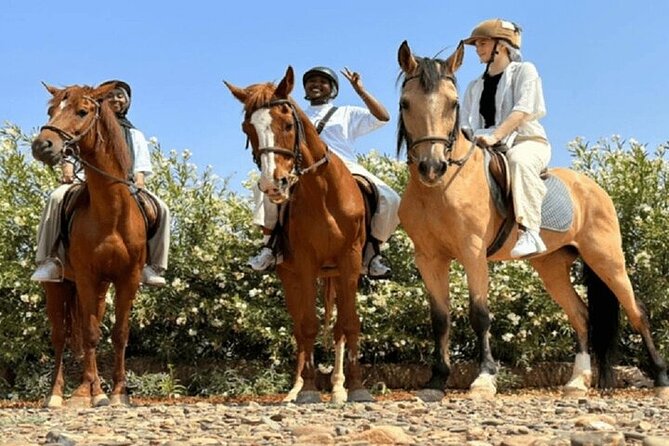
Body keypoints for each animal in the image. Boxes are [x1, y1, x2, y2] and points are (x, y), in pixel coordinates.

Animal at [31, 82, 147, 407]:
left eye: (82, 112)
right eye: (51, 110)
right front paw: (93, 393)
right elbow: (91, 333)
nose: (42, 145)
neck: (111, 214)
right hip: (58, 286)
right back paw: (60, 394)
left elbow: (120, 334)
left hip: (99, 288)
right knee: (61, 336)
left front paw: (119, 393)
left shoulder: (127, 279)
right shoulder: (85, 276)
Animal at [225, 66, 373, 403]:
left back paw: (338, 387)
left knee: (337, 328)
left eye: (288, 124)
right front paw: (306, 390)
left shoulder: (349, 261)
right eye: (247, 129)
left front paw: (356, 387)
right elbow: (307, 325)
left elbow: (349, 323)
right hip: (290, 275)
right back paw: (296, 388)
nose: (273, 184)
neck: (323, 191)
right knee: (298, 327)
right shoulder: (304, 264)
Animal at [396, 40, 669, 401]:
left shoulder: (472, 253)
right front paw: (436, 380)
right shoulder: (429, 258)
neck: (440, 189)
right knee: (581, 315)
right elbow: (440, 318)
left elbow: (479, 314)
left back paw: (661, 377)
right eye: (405, 103)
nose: (432, 167)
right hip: (551, 266)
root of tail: (595, 188)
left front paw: (484, 378)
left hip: (606, 259)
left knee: (637, 310)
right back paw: (577, 381)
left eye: (453, 104)